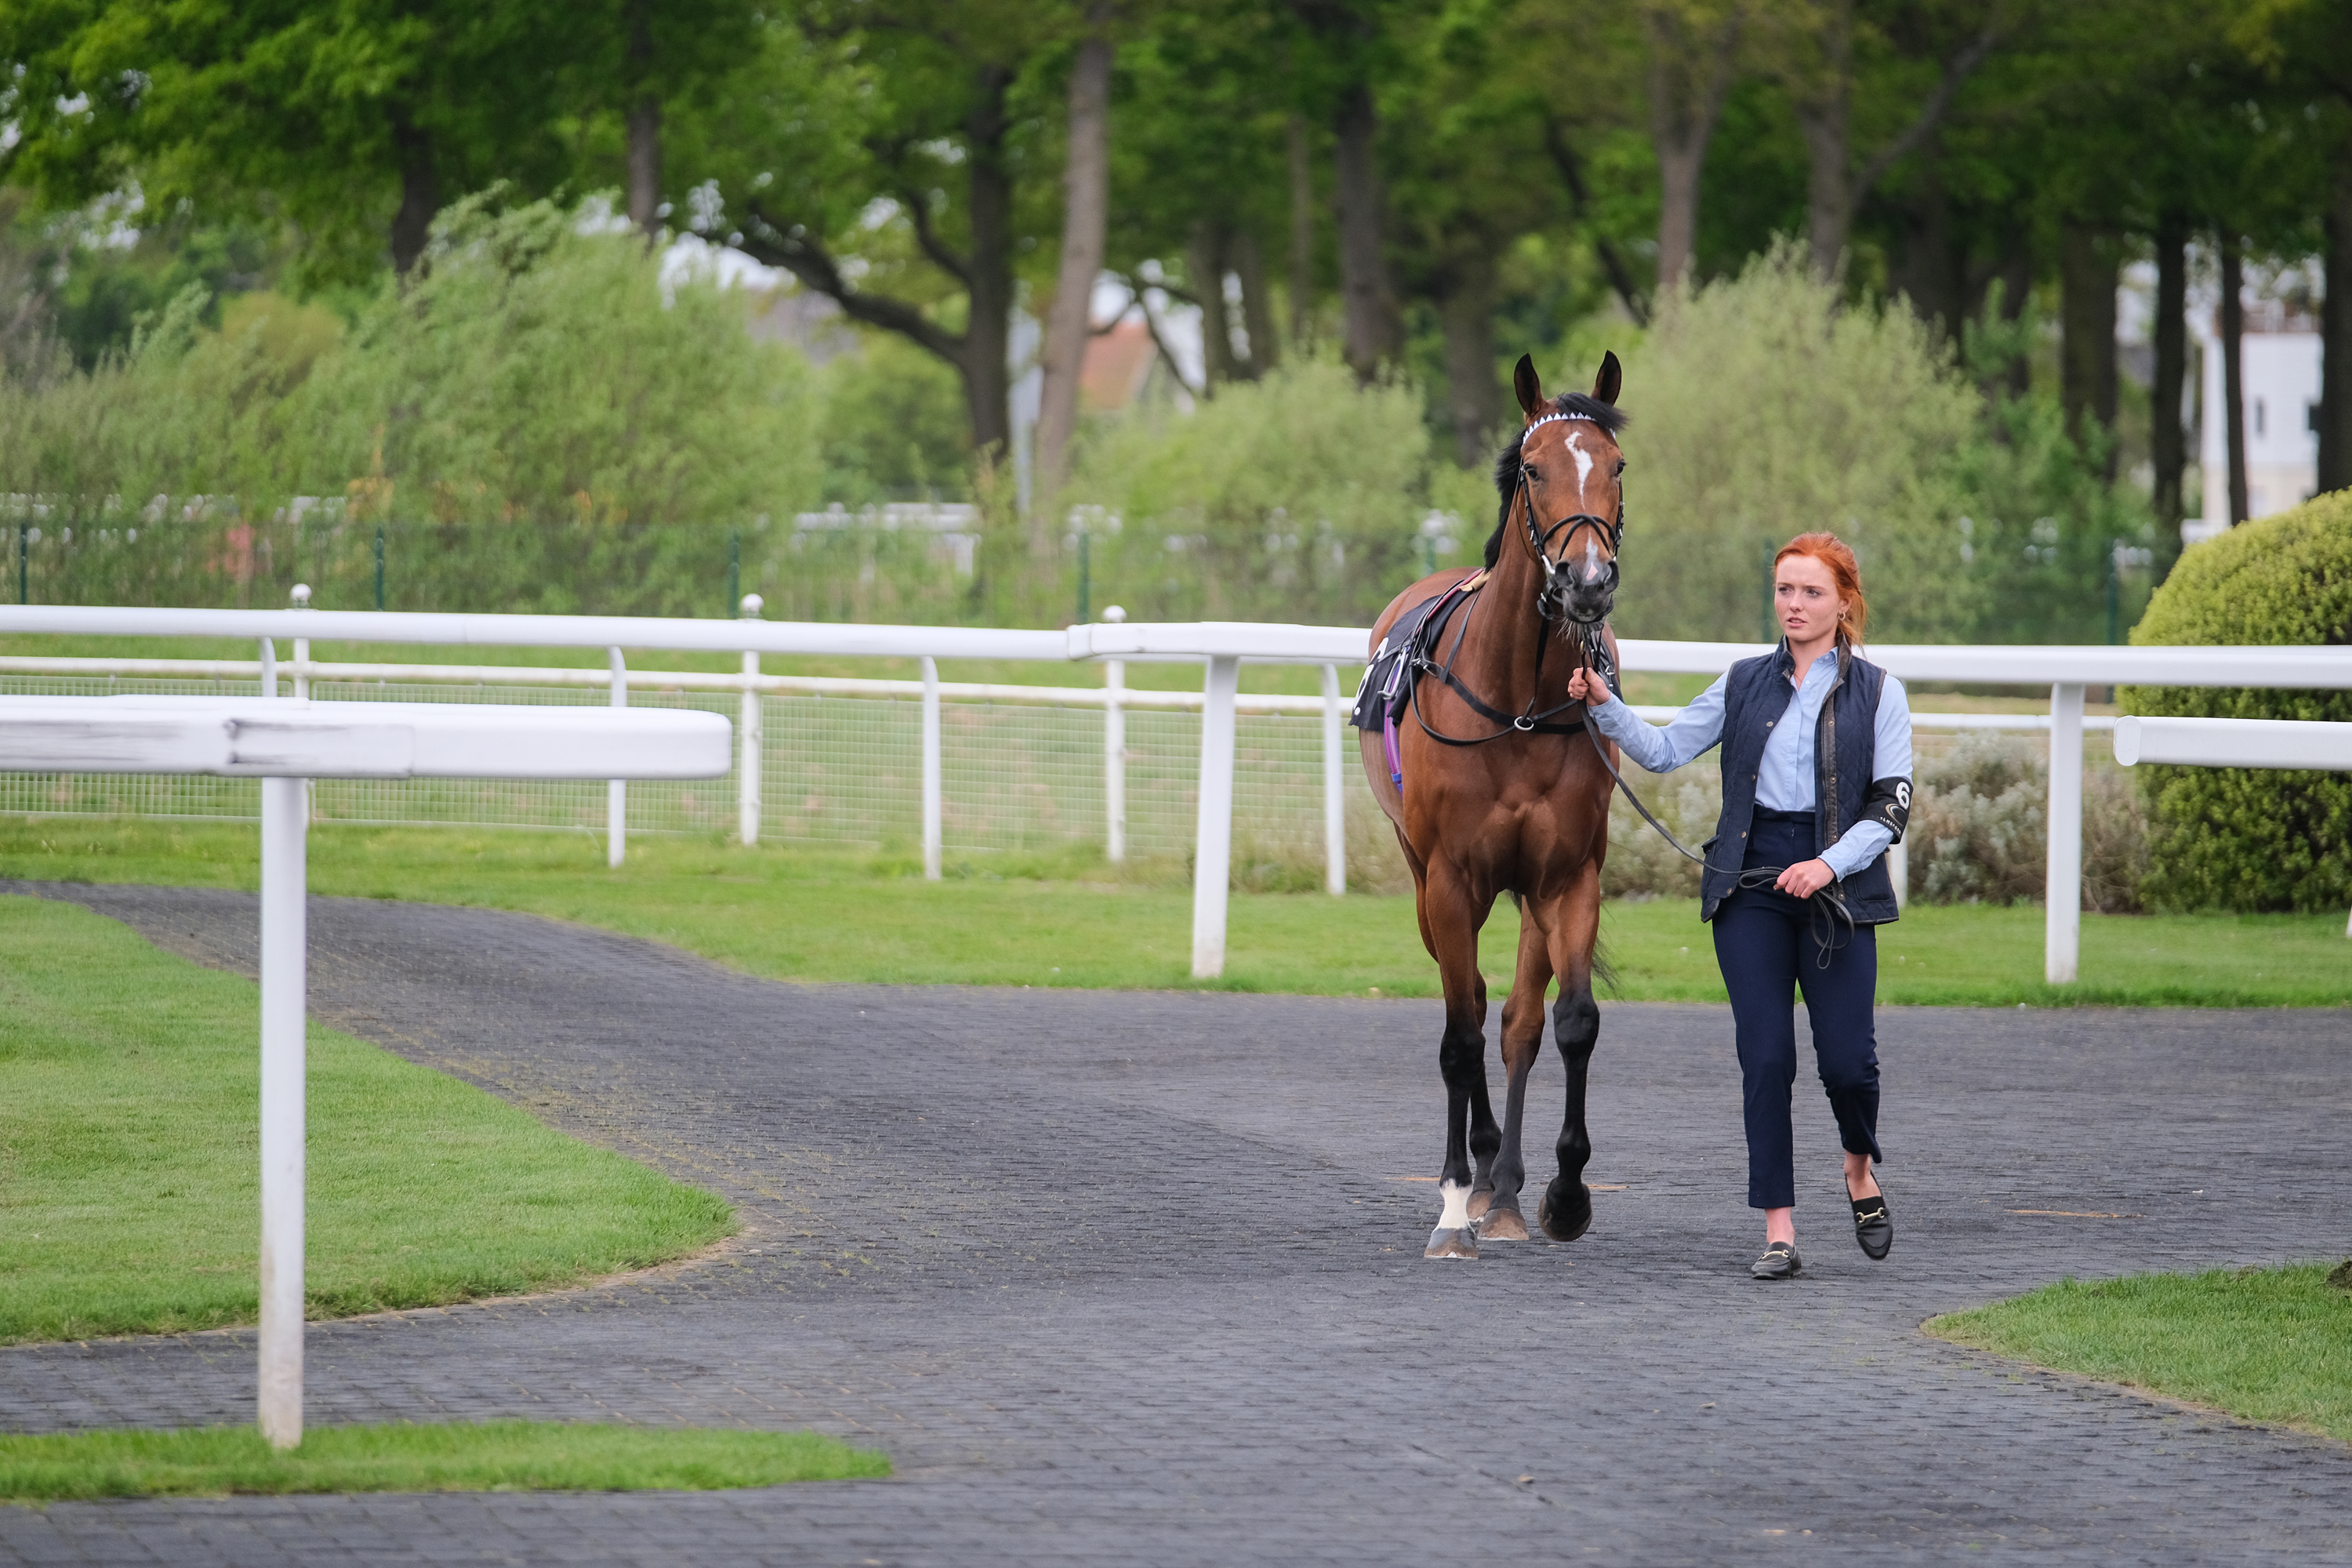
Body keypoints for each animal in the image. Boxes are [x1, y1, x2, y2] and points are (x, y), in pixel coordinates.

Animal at [1359, 351, 1627, 1261]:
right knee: (1470, 1005)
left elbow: (1566, 1021)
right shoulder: (1450, 878)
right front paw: (1451, 1205)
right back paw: (1475, 1179)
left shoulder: (1568, 875)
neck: (1517, 704)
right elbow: (1457, 1030)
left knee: (1515, 1020)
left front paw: (1564, 1194)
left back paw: (1502, 1188)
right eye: (1536, 470)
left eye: (1617, 466)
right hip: (1421, 877)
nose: (1588, 581)